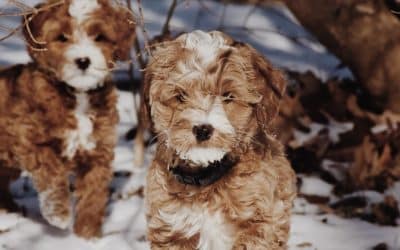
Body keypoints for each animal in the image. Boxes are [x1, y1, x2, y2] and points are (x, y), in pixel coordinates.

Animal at [0, 0, 136, 238]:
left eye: (99, 37)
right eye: (62, 37)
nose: (83, 61)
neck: (77, 93)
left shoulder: (98, 151)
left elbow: (93, 195)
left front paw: (88, 236)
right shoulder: (32, 142)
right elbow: (52, 172)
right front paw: (59, 213)